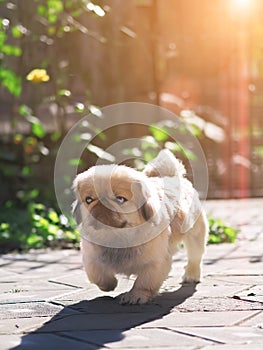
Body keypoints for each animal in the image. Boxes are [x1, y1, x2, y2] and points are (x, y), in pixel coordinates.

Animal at [72, 149, 208, 304]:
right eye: (89, 200)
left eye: (120, 199)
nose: (102, 205)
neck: (117, 237)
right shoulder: (91, 257)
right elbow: (96, 273)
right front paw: (108, 285)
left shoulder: (156, 262)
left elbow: (144, 281)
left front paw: (135, 296)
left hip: (195, 236)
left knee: (195, 257)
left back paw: (191, 275)